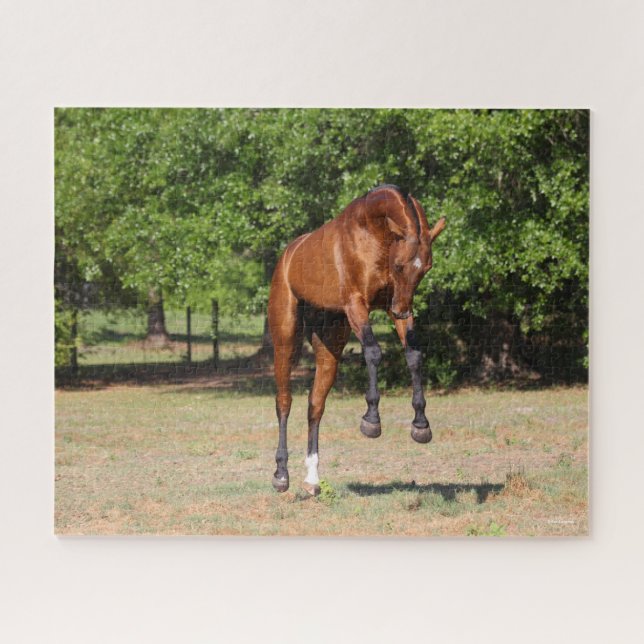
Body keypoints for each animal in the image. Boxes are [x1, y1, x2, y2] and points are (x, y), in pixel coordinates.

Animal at [267, 184, 446, 495]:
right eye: (399, 265)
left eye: (426, 269)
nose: (402, 311)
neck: (373, 232)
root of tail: (287, 257)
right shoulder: (357, 304)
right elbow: (373, 352)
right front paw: (371, 420)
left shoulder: (394, 303)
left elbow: (413, 355)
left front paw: (421, 425)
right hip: (285, 340)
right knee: (284, 401)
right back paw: (281, 474)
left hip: (330, 347)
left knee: (315, 405)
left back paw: (312, 479)